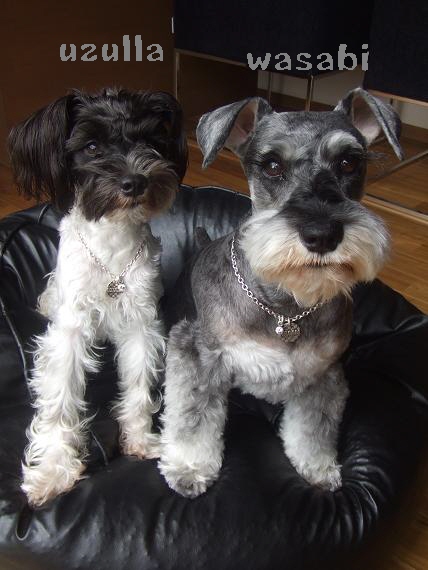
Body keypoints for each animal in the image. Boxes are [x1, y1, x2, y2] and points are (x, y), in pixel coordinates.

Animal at [8, 87, 187, 506]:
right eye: (91, 146)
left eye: (151, 141)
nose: (135, 181)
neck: (111, 251)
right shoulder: (70, 329)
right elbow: (59, 401)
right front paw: (53, 472)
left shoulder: (141, 322)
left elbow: (138, 385)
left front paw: (140, 440)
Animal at [158, 88, 403, 497]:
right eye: (272, 166)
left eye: (349, 162)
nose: (322, 234)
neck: (285, 307)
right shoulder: (197, 355)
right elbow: (193, 416)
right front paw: (189, 468)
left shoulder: (325, 374)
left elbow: (314, 427)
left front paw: (317, 466)